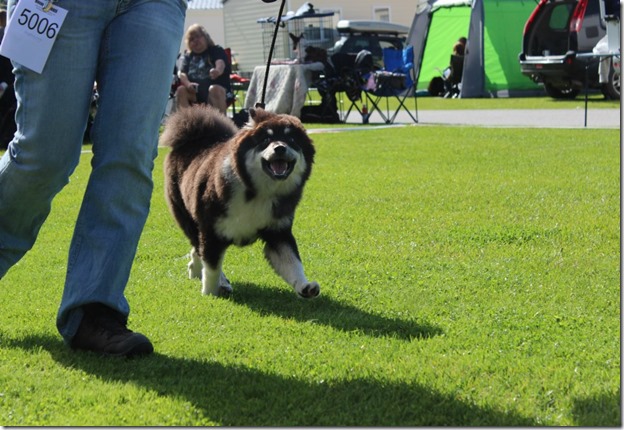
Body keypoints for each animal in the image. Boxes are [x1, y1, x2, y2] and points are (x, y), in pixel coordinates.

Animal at [161, 105, 320, 299]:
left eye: (291, 139)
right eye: (266, 139)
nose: (280, 148)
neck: (257, 193)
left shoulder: (278, 233)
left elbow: (293, 263)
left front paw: (304, 286)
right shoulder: (212, 232)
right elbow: (212, 268)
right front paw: (210, 292)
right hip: (187, 218)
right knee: (198, 245)